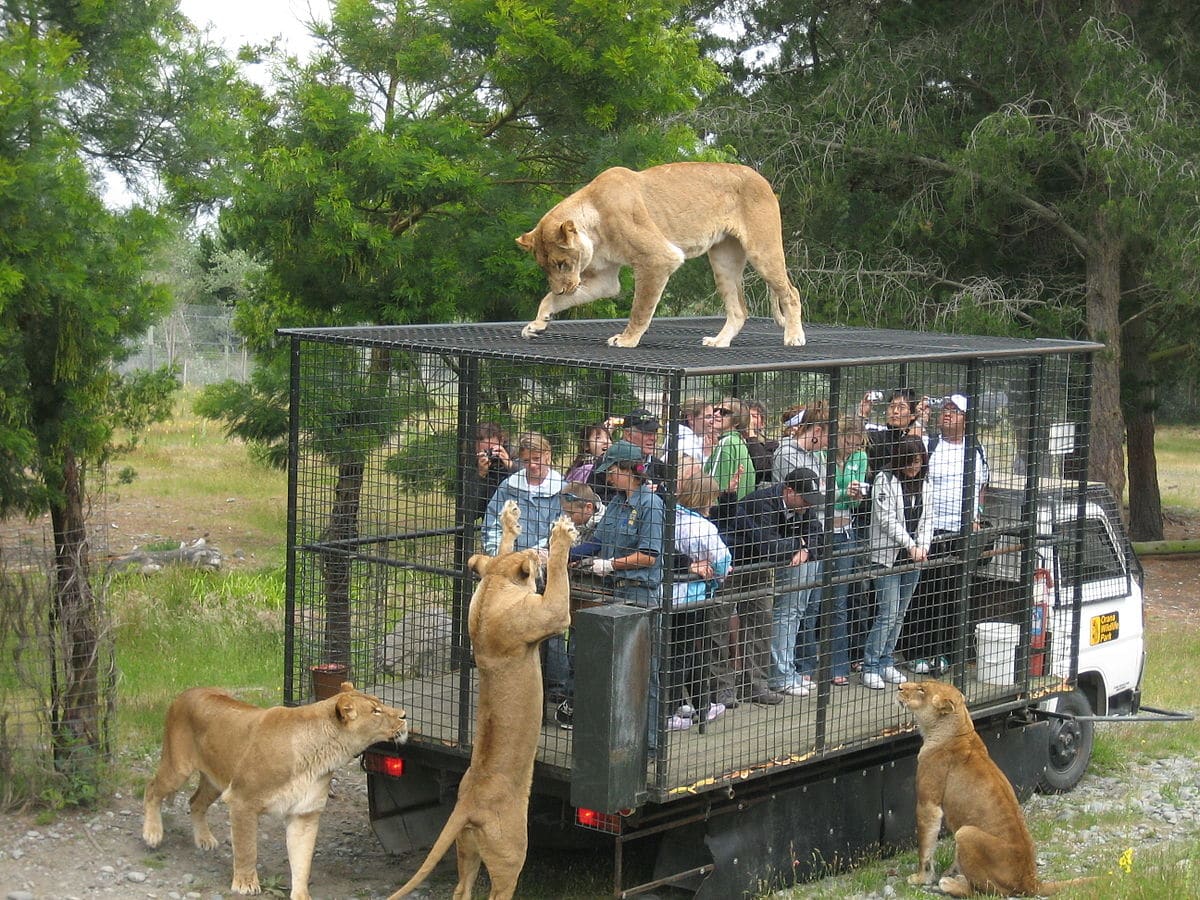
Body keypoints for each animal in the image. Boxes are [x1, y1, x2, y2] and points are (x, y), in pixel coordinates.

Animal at [142, 682, 407, 900]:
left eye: (380, 703)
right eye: (375, 711)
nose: (404, 715)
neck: (322, 755)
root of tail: (186, 693)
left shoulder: (304, 814)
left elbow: (302, 861)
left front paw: (301, 895)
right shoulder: (242, 801)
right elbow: (247, 848)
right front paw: (245, 884)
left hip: (215, 780)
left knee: (195, 802)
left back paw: (204, 839)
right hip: (179, 768)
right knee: (152, 789)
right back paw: (152, 833)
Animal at [388, 500, 577, 900]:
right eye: (534, 556)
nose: (537, 548)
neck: (492, 587)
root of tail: (468, 803)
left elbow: (497, 551)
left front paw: (509, 519)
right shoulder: (550, 613)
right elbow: (557, 581)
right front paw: (561, 536)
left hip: (467, 848)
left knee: (461, 890)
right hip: (512, 853)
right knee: (498, 890)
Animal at [516, 162, 806, 349]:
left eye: (562, 264)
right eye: (546, 268)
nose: (563, 289)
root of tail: (762, 178)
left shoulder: (657, 259)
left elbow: (640, 309)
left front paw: (626, 339)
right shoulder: (606, 279)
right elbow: (550, 298)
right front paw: (537, 324)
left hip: (762, 251)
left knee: (791, 293)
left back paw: (794, 337)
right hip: (723, 261)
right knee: (739, 310)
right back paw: (719, 342)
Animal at [898, 681, 1092, 896]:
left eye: (922, 689)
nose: (899, 687)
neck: (960, 728)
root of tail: (1031, 881)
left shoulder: (928, 803)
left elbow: (925, 847)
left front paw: (921, 878)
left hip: (965, 834)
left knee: (983, 891)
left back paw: (950, 883)